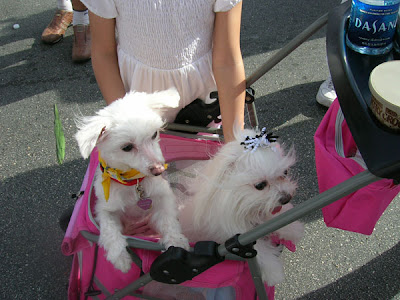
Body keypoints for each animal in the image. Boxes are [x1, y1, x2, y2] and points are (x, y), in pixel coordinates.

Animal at [76, 88, 190, 272]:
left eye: (154, 134)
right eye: (127, 147)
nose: (159, 170)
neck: (132, 183)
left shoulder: (163, 198)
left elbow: (168, 222)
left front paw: (176, 242)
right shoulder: (104, 208)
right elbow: (109, 230)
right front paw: (120, 259)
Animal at [180, 127, 304, 286]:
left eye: (285, 172)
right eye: (260, 185)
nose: (286, 198)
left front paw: (294, 229)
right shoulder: (236, 237)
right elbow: (259, 251)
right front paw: (274, 273)